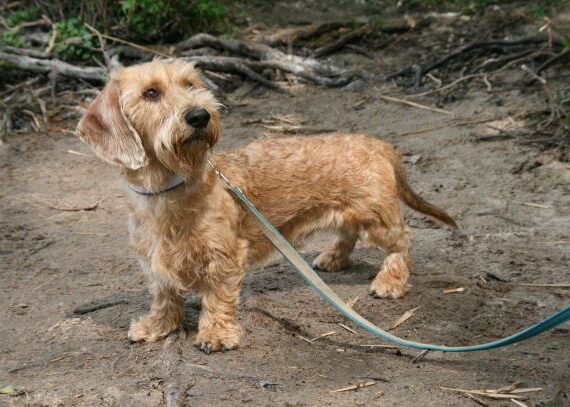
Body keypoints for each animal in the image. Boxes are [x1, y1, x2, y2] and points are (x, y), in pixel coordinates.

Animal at [76, 59, 458, 354]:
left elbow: (217, 297)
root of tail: (375, 143)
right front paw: (157, 325)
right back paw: (334, 257)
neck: (168, 189)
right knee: (348, 233)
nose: (200, 116)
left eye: (190, 84)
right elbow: (164, 295)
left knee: (402, 241)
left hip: (376, 217)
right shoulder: (154, 260)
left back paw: (390, 281)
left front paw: (217, 334)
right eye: (151, 93)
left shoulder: (224, 258)